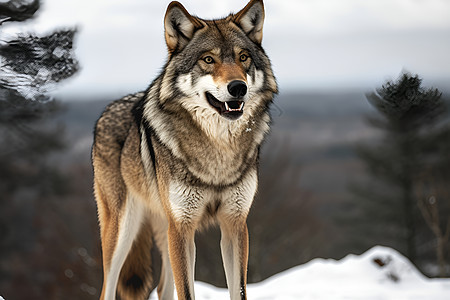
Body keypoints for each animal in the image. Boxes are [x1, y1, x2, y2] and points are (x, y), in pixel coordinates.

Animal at [92, 1, 278, 298]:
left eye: (243, 57)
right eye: (208, 60)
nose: (238, 88)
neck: (218, 151)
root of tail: (106, 110)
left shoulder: (235, 224)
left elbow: (238, 290)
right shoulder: (182, 227)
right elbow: (187, 291)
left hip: (163, 228)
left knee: (163, 286)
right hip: (123, 230)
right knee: (107, 288)